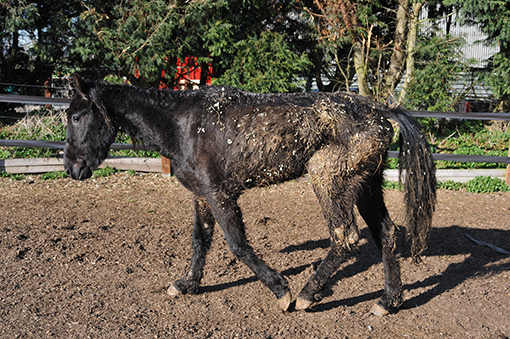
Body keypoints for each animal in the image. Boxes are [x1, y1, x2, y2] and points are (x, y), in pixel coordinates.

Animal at [63, 74, 436, 316]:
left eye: (77, 116)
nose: (71, 168)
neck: (182, 124)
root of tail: (383, 113)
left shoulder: (220, 194)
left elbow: (238, 244)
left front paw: (281, 290)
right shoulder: (201, 195)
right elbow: (200, 240)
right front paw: (187, 284)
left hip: (329, 181)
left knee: (345, 237)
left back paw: (306, 295)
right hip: (367, 185)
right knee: (386, 233)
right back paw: (388, 302)